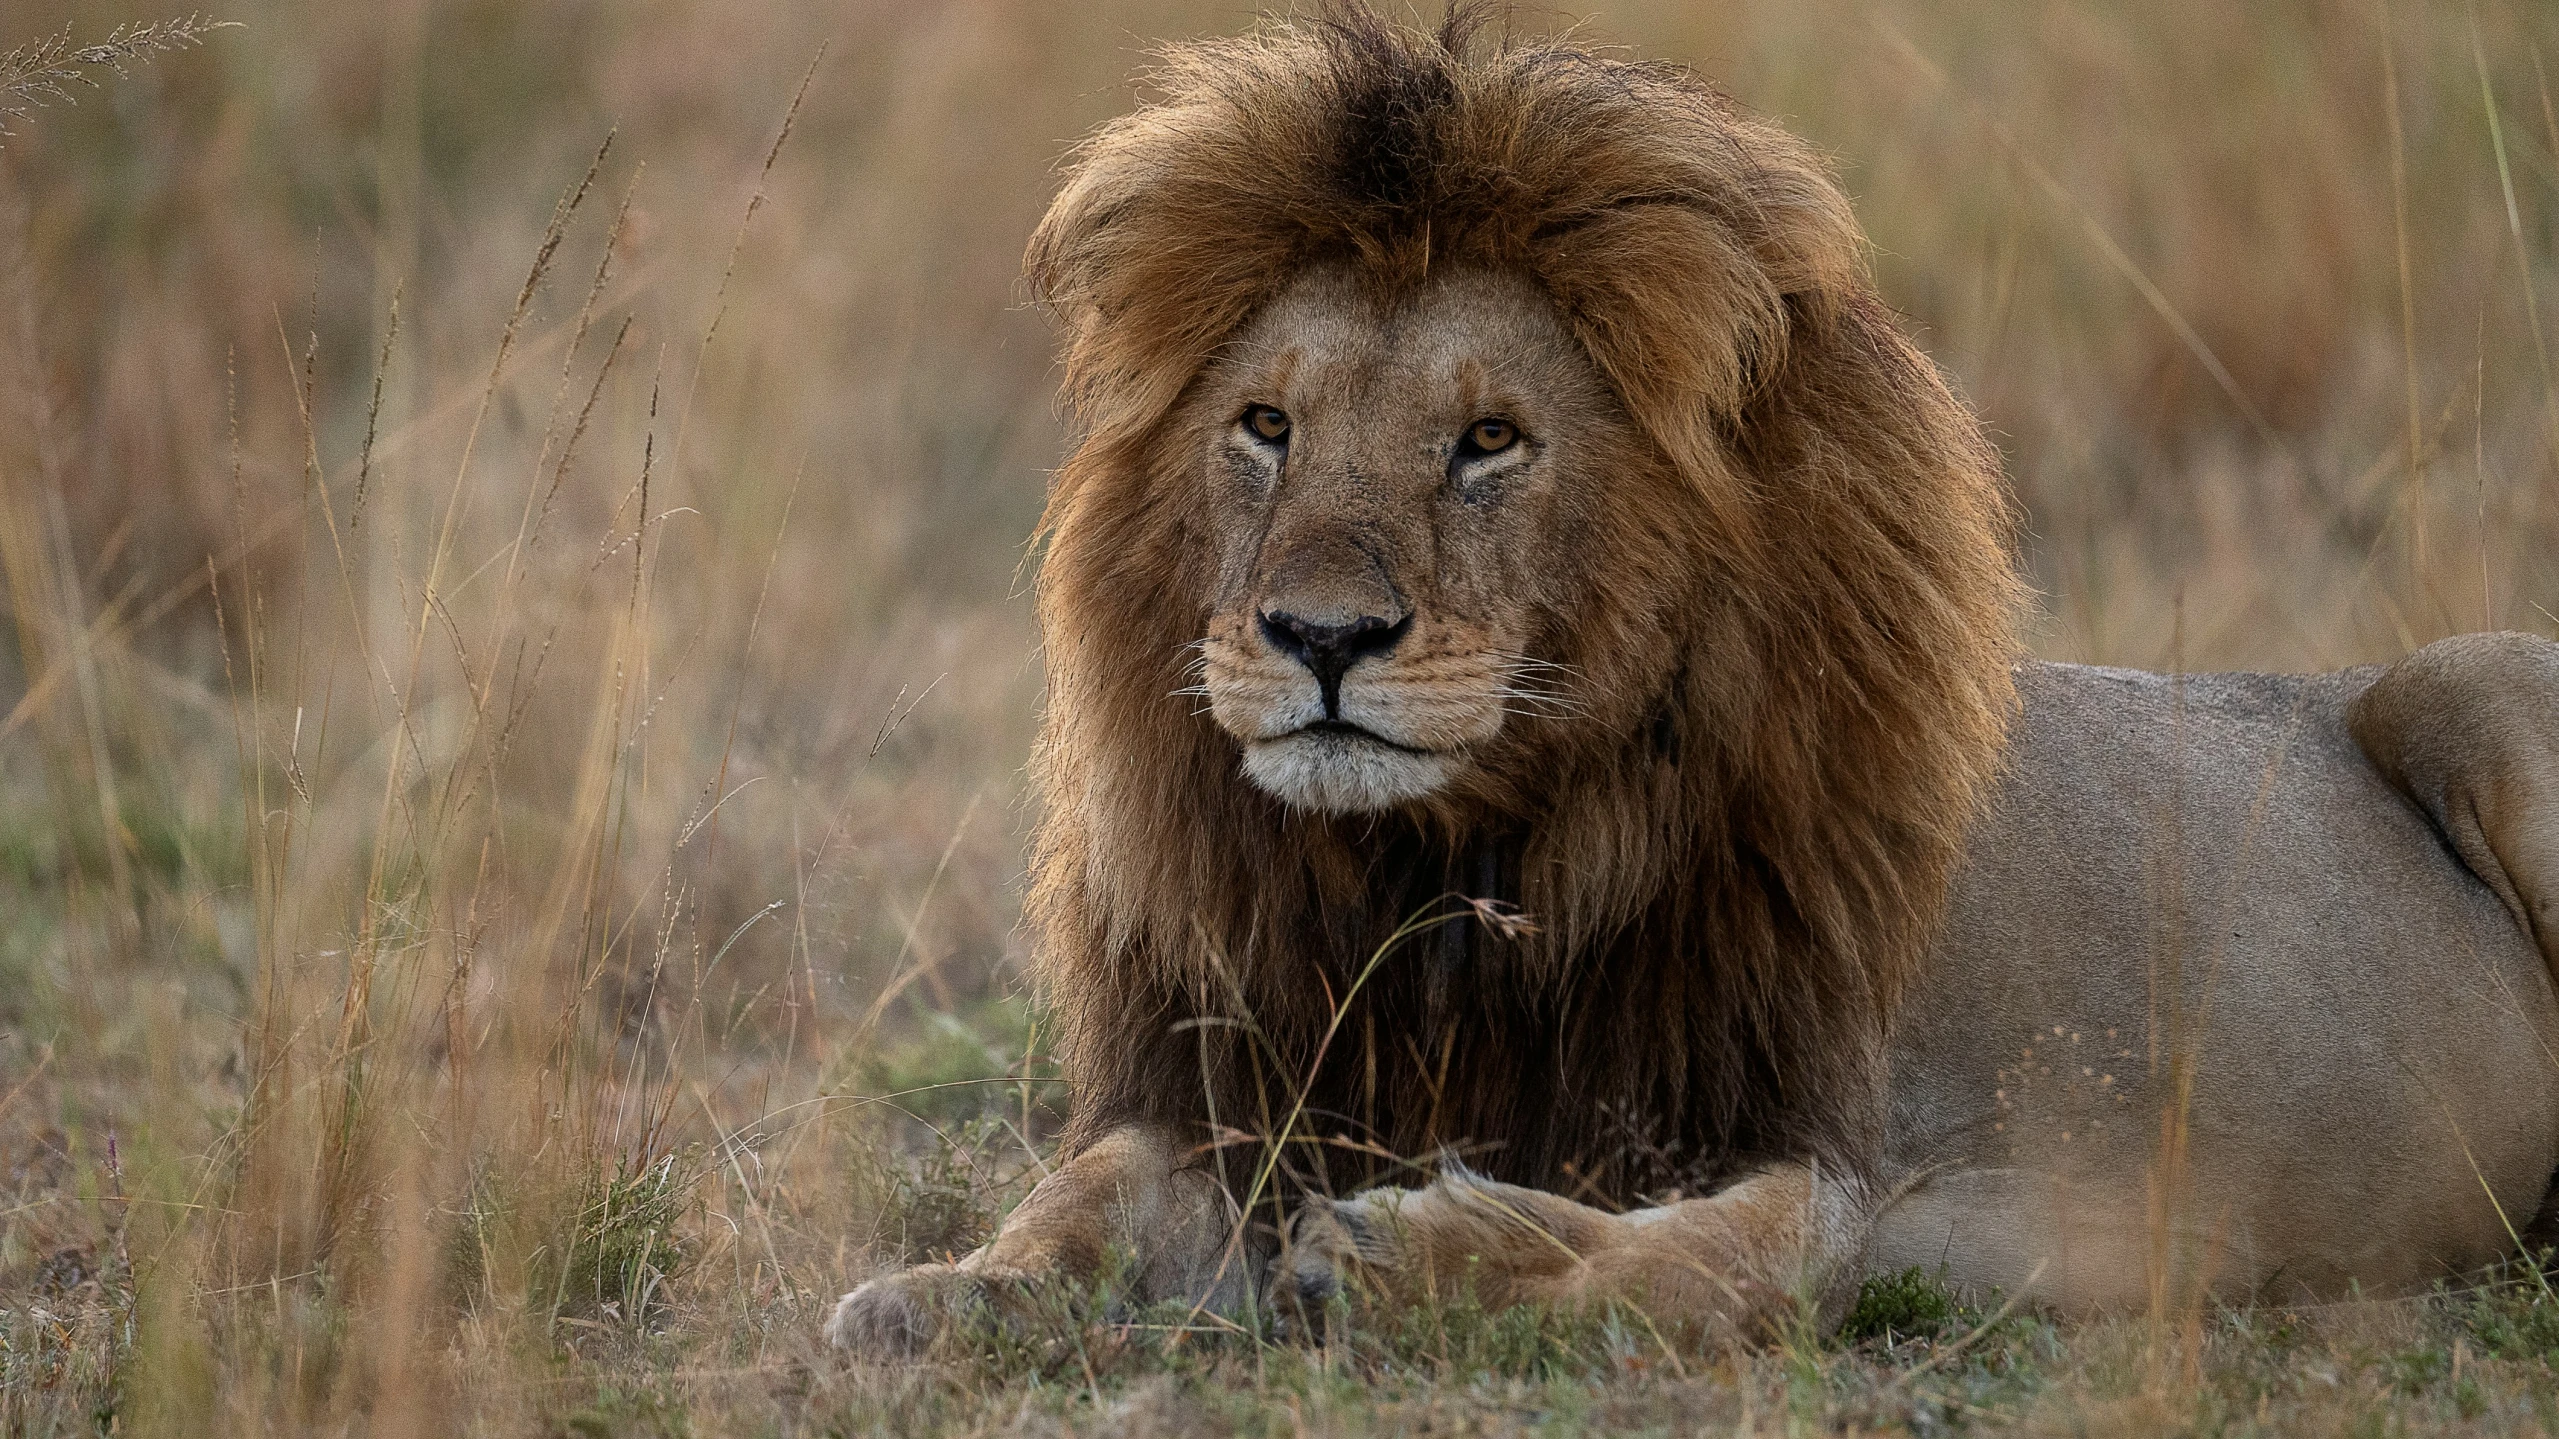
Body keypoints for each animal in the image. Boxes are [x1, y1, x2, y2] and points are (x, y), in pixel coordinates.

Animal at [823, 2, 2559, 1341]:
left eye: (1487, 440)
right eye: (1265, 425)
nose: (1319, 638)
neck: (1436, 876)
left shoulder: (1879, 1168)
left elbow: (1715, 1256)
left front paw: (1417, 1252)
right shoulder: (1245, 1082)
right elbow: (1076, 1189)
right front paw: (947, 1289)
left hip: (2482, 688)